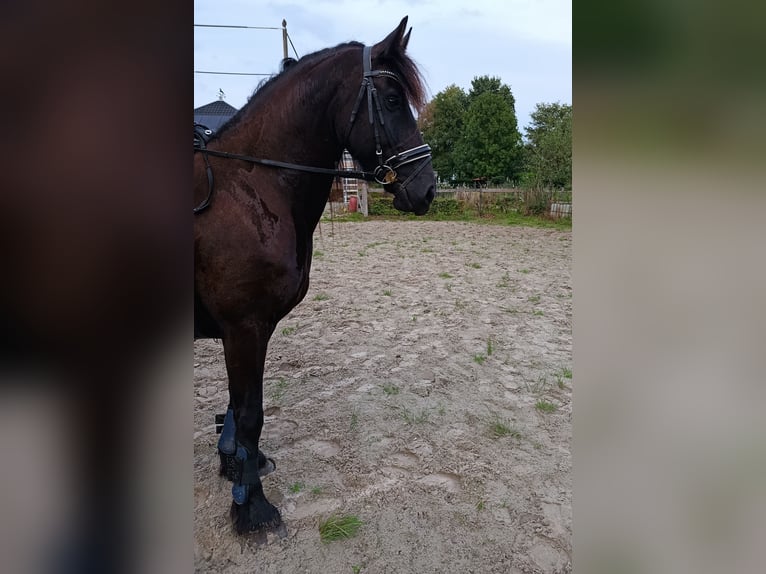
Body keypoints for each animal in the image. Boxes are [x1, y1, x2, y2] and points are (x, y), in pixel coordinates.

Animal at [194, 16, 436, 537]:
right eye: (391, 100)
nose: (427, 188)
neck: (250, 191)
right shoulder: (244, 328)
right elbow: (249, 414)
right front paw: (252, 508)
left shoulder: (245, 331)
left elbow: (240, 407)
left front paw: (239, 465)